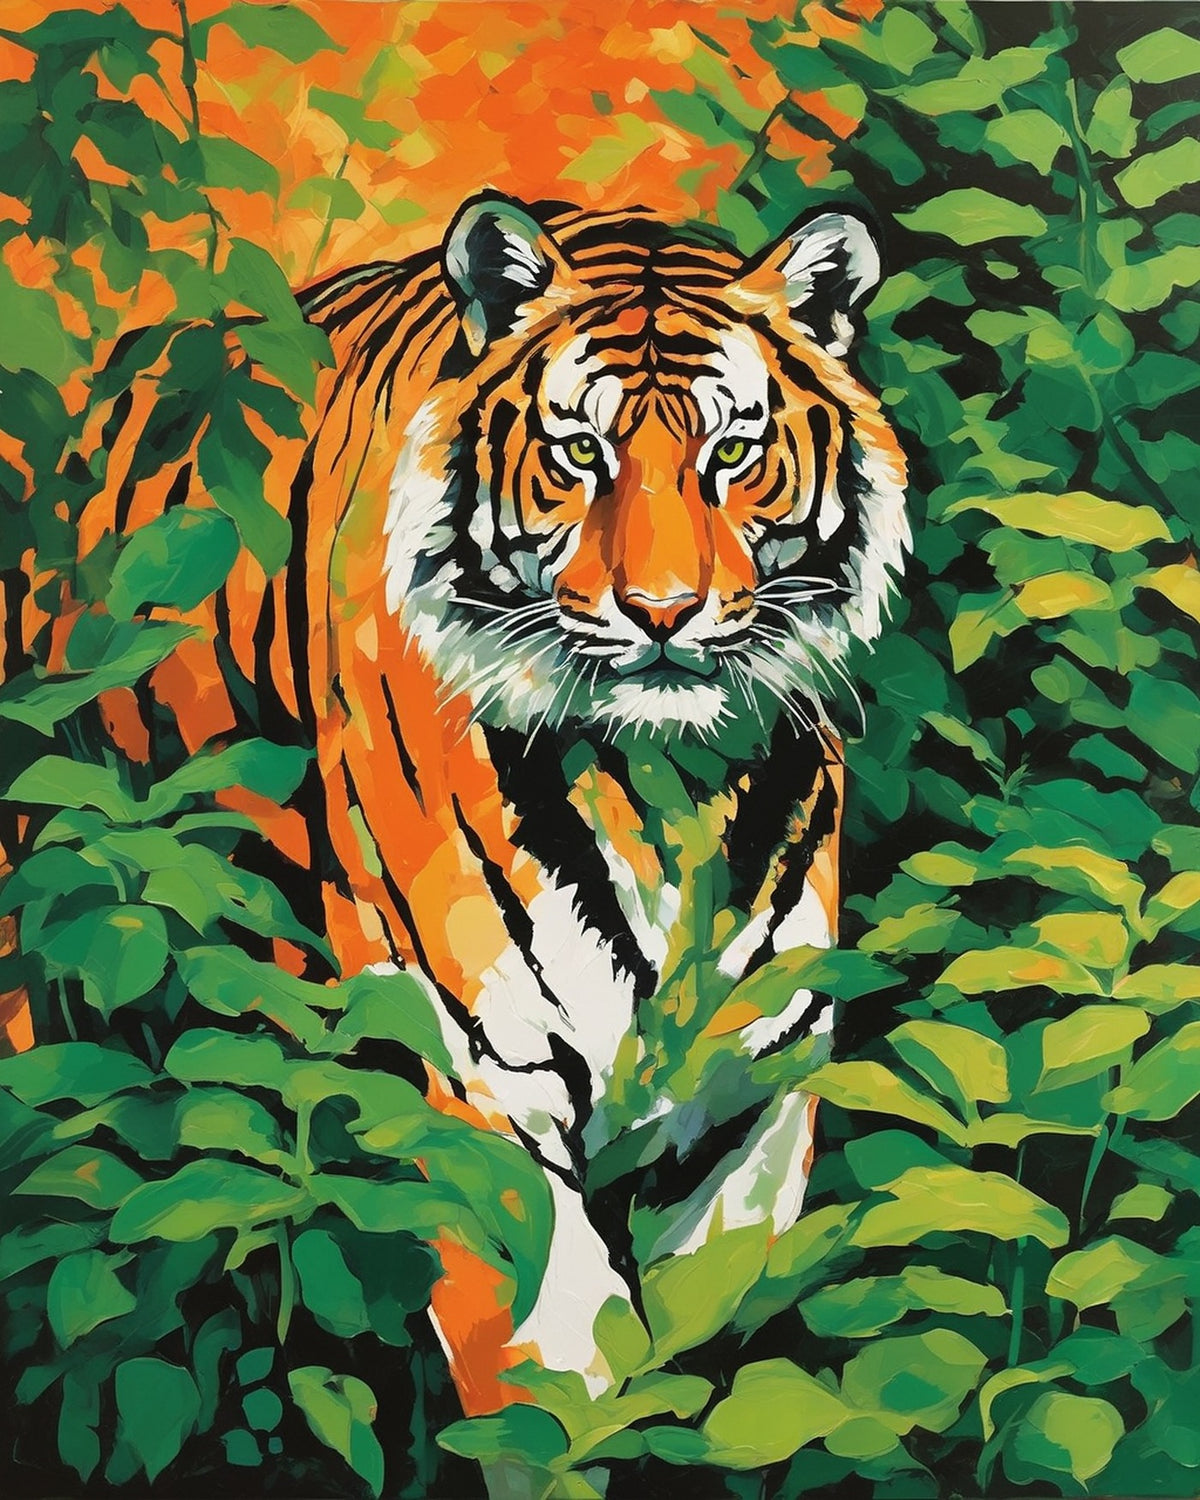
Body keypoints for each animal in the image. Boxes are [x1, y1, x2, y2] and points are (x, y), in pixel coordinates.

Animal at [8, 194, 909, 1418]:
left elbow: (702, 1345)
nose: (663, 611)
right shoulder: (478, 1073)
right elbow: (557, 1383)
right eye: (580, 453)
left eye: (734, 453)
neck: (664, 792)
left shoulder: (756, 1081)